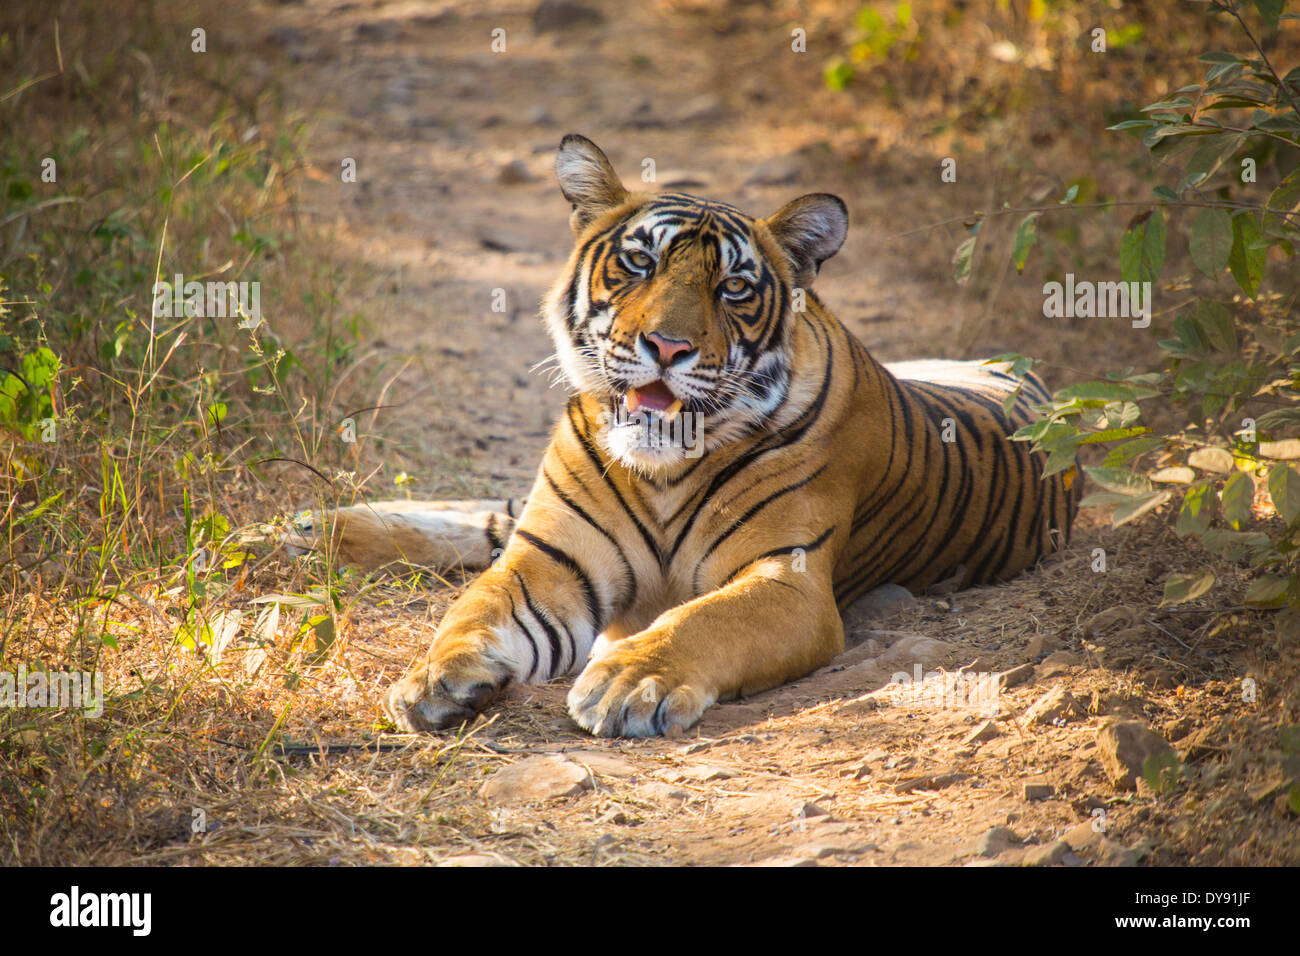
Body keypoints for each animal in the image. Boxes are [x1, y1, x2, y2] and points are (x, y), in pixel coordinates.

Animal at [295, 130, 1076, 738]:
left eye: (733, 287)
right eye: (639, 262)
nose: (668, 346)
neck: (664, 470)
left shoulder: (787, 579)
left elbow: (702, 621)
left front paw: (630, 680)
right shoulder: (548, 560)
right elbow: (473, 610)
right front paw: (433, 677)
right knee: (493, 518)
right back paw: (308, 528)